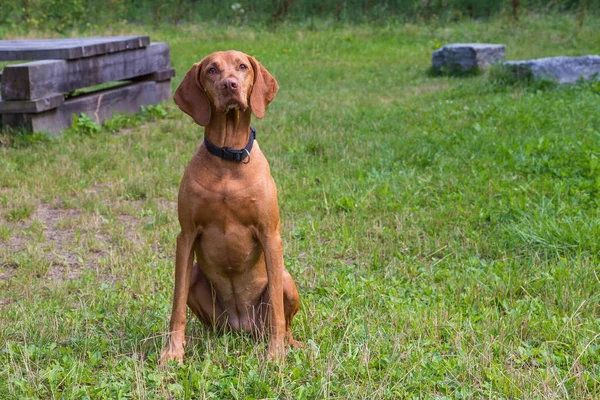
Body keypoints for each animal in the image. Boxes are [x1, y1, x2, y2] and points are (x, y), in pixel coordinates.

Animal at [161, 50, 302, 366]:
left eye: (242, 66)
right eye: (212, 70)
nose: (230, 85)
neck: (228, 158)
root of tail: (242, 325)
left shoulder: (270, 234)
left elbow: (277, 309)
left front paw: (276, 355)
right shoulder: (186, 236)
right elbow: (176, 305)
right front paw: (173, 351)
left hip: (286, 280)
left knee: (283, 320)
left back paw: (288, 344)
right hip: (200, 282)